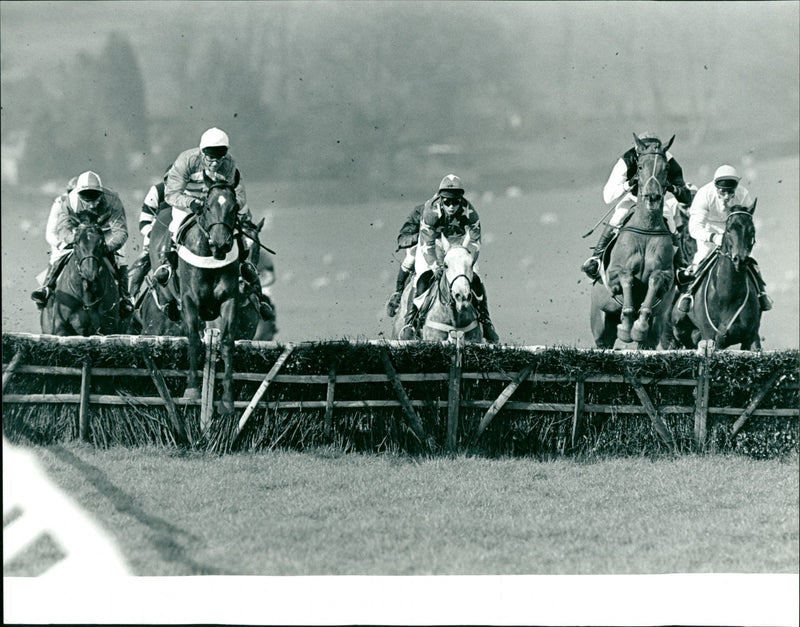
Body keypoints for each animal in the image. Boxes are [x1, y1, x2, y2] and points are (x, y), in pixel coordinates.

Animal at [592, 134, 680, 348]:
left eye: (666, 168)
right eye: (640, 166)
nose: (652, 197)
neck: (646, 229)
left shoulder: (665, 277)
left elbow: (656, 280)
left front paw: (637, 326)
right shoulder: (614, 276)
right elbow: (627, 277)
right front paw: (626, 328)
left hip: (656, 327)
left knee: (648, 340)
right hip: (600, 325)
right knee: (603, 341)